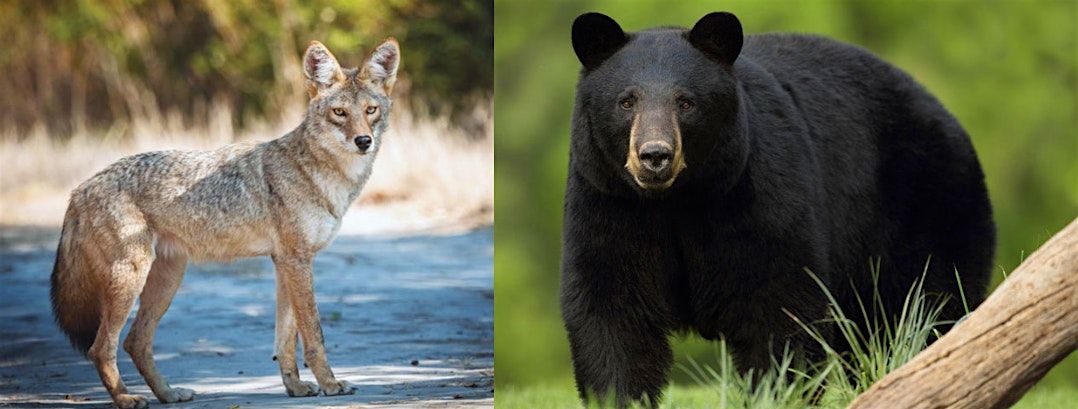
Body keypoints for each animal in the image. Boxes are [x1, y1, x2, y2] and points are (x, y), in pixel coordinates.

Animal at [560, 11, 995, 406]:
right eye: (626, 101)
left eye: (686, 103)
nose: (654, 156)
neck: (677, 200)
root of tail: (951, 119)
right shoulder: (608, 203)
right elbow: (612, 313)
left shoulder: (758, 198)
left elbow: (779, 305)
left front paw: (776, 392)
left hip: (928, 207)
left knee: (927, 307)